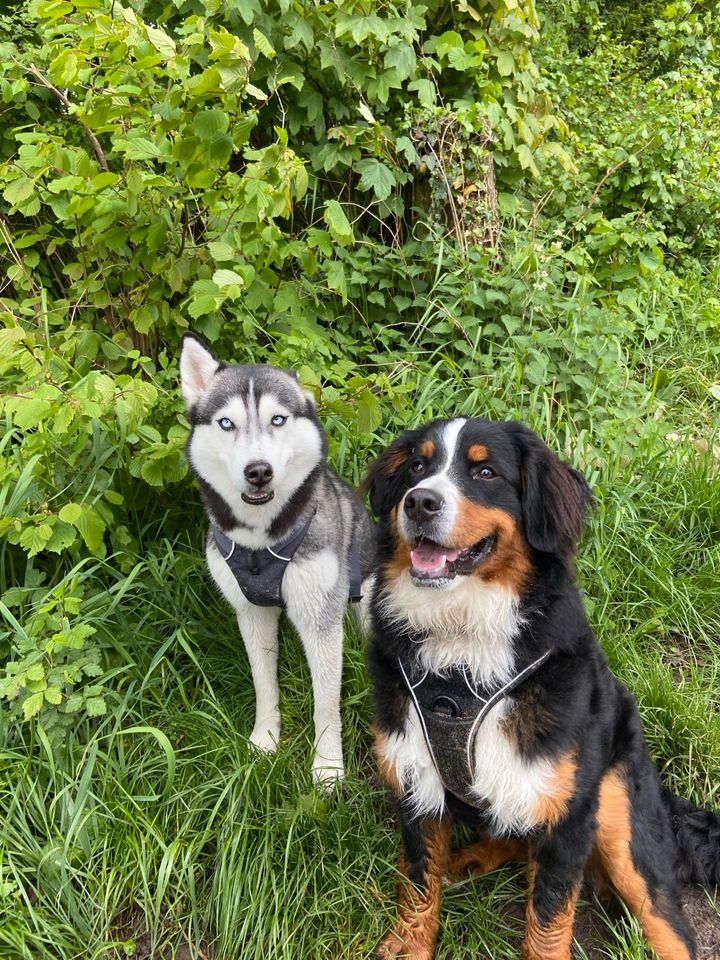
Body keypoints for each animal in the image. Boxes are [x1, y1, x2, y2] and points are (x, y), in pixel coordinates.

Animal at [179, 334, 374, 784]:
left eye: (279, 420)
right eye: (226, 423)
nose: (258, 471)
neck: (259, 540)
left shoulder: (321, 619)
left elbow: (326, 705)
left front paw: (327, 769)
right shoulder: (250, 612)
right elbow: (263, 683)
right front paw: (265, 742)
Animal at [366, 418, 720, 960]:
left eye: (485, 471)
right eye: (417, 467)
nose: (419, 501)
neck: (461, 651)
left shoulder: (567, 813)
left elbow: (549, 918)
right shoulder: (415, 781)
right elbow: (419, 886)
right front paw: (409, 943)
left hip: (621, 821)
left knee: (668, 923)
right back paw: (467, 860)